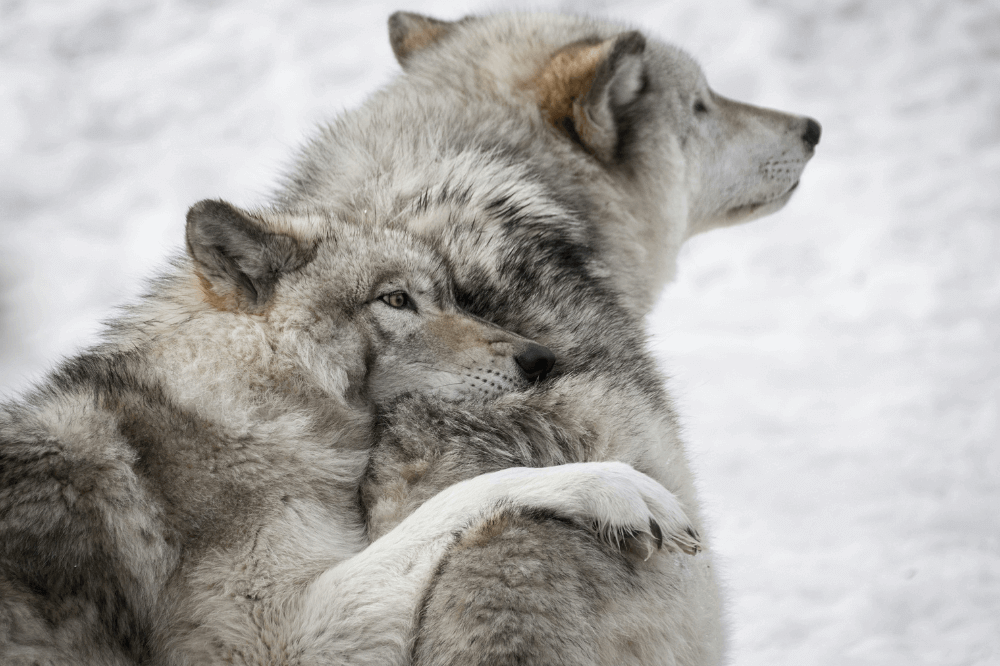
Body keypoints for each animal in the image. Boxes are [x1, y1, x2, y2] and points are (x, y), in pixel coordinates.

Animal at [0, 197, 696, 660]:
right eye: (396, 300)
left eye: (450, 296)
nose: (540, 359)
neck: (243, 404)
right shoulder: (282, 637)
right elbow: (465, 494)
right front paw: (615, 487)